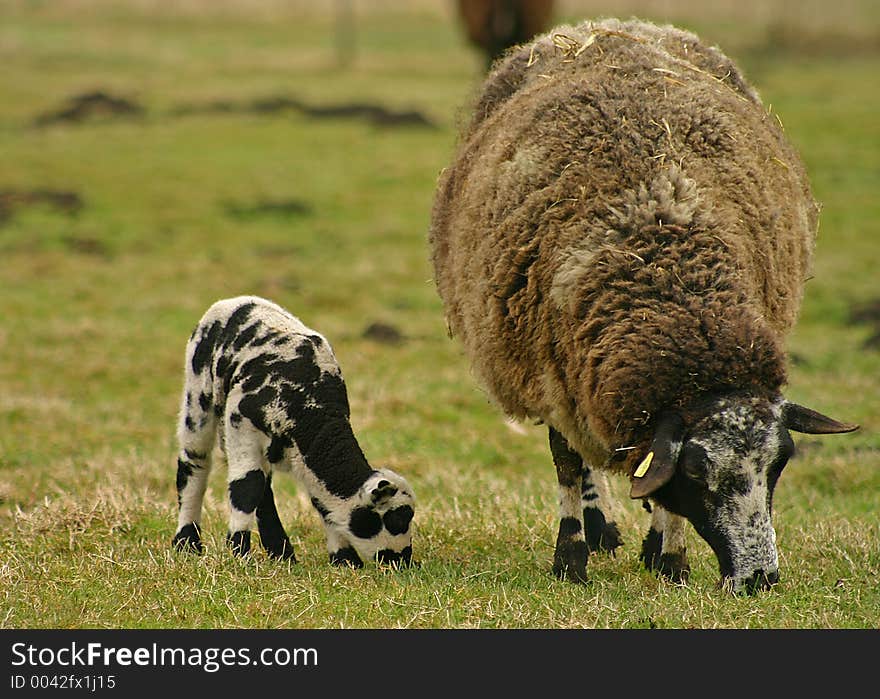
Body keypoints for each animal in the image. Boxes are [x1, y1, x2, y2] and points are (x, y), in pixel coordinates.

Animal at [176, 296, 420, 568]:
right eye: (397, 519)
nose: (404, 560)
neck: (311, 413)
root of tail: (234, 301)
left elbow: (318, 502)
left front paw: (344, 559)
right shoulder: (242, 424)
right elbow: (246, 485)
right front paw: (239, 552)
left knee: (264, 488)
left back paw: (280, 551)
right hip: (199, 398)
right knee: (194, 464)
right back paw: (187, 542)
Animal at [430, 16, 856, 592]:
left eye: (779, 463)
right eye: (697, 471)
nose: (759, 578)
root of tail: (603, 25)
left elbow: (655, 482)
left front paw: (669, 558)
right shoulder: (550, 374)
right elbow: (568, 465)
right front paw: (571, 558)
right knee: (583, 458)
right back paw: (598, 528)